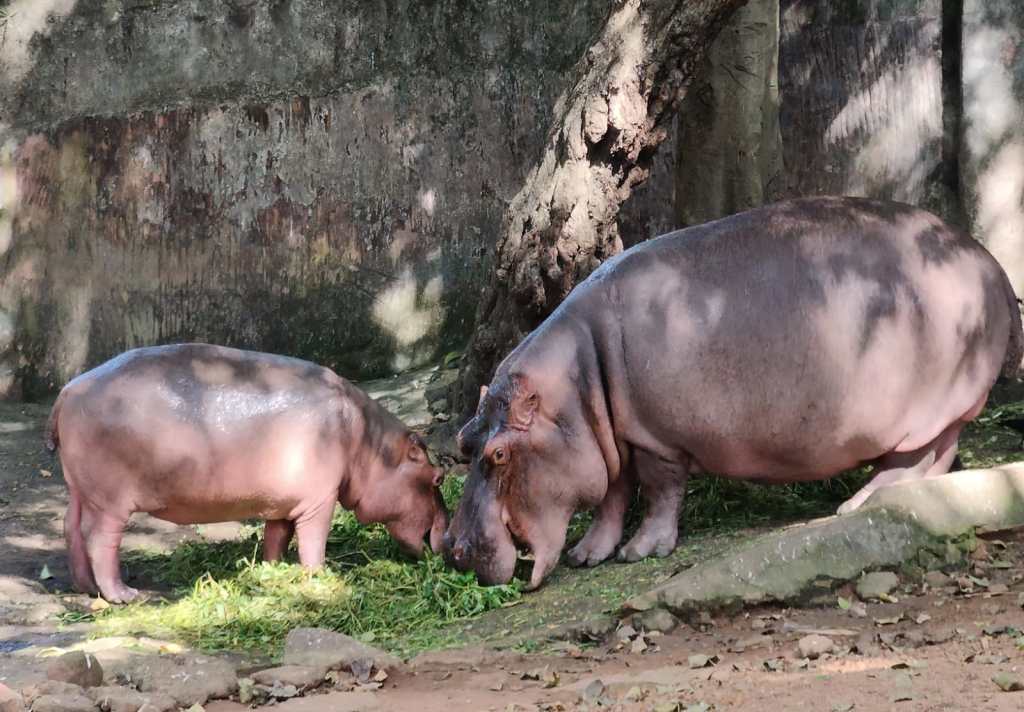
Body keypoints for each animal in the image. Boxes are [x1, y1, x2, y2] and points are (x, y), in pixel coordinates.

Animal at [46, 343, 448, 603]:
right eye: (437, 478)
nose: (449, 539)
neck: (369, 443)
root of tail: (67, 390)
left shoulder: (286, 500)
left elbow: (277, 536)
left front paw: (272, 570)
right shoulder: (320, 500)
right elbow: (313, 540)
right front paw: (319, 576)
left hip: (81, 488)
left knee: (71, 528)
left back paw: (85, 588)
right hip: (111, 499)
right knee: (100, 539)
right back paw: (124, 595)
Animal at [444, 197, 1024, 590]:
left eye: (499, 454)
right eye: (464, 441)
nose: (452, 548)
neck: (576, 387)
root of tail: (990, 262)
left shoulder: (655, 440)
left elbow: (659, 492)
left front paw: (641, 553)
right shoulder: (613, 442)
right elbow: (612, 496)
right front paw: (588, 556)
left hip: (930, 404)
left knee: (916, 456)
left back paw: (854, 505)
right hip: (946, 407)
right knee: (939, 455)